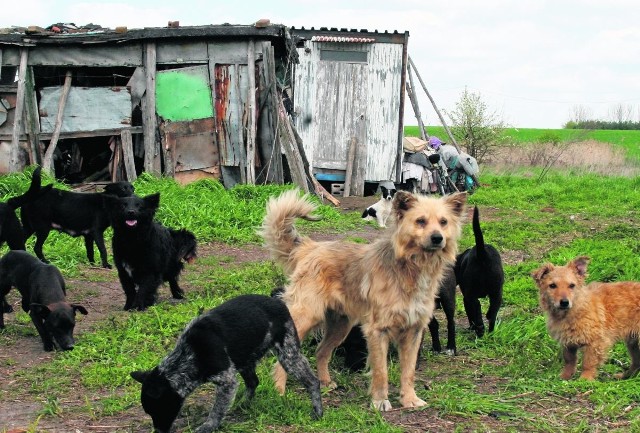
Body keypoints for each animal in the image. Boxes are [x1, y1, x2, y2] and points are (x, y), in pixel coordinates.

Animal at [130, 294, 322, 432]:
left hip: (288, 356)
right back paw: (243, 405)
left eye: (159, 409)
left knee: (313, 381)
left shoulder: (227, 381)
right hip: (245, 359)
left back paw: (318, 411)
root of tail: (278, 301)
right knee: (253, 382)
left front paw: (208, 426)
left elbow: (216, 411)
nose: (158, 431)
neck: (188, 355)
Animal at [260, 188, 464, 408]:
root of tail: (309, 247)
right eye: (420, 221)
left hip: (340, 326)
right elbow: (381, 372)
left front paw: (409, 399)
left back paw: (325, 383)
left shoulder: (413, 330)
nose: (437, 238)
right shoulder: (378, 331)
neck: (411, 268)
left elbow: (408, 372)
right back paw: (279, 391)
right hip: (306, 317)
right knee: (286, 356)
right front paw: (380, 402)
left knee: (321, 351)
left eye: (443, 222)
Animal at [456, 204, 504, 336]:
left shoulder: (466, 297)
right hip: (497, 292)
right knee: (492, 314)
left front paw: (471, 327)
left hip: (471, 295)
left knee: (477, 311)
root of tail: (482, 254)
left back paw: (480, 331)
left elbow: (470, 314)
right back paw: (490, 330)